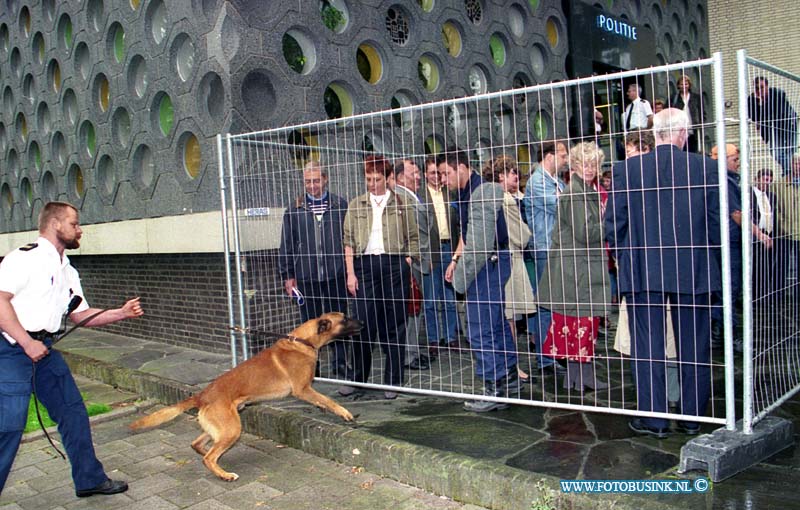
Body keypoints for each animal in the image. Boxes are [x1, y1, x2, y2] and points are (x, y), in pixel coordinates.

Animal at [130, 310, 360, 482]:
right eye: (344, 319)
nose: (363, 323)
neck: (303, 341)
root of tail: (202, 395)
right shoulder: (302, 389)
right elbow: (329, 400)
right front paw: (345, 413)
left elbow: (322, 401)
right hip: (232, 429)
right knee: (209, 456)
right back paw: (224, 475)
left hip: (223, 427)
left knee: (198, 445)